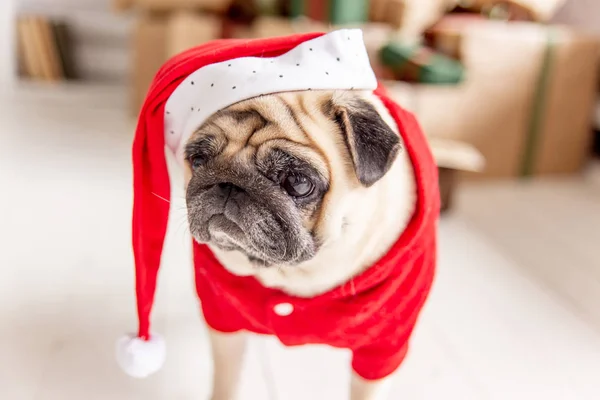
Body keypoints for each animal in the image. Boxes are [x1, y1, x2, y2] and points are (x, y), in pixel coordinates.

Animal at [183, 90, 422, 400]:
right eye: (198, 160)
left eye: (297, 183)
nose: (229, 183)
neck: (296, 274)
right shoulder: (223, 323)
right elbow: (226, 381)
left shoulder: (382, 348)